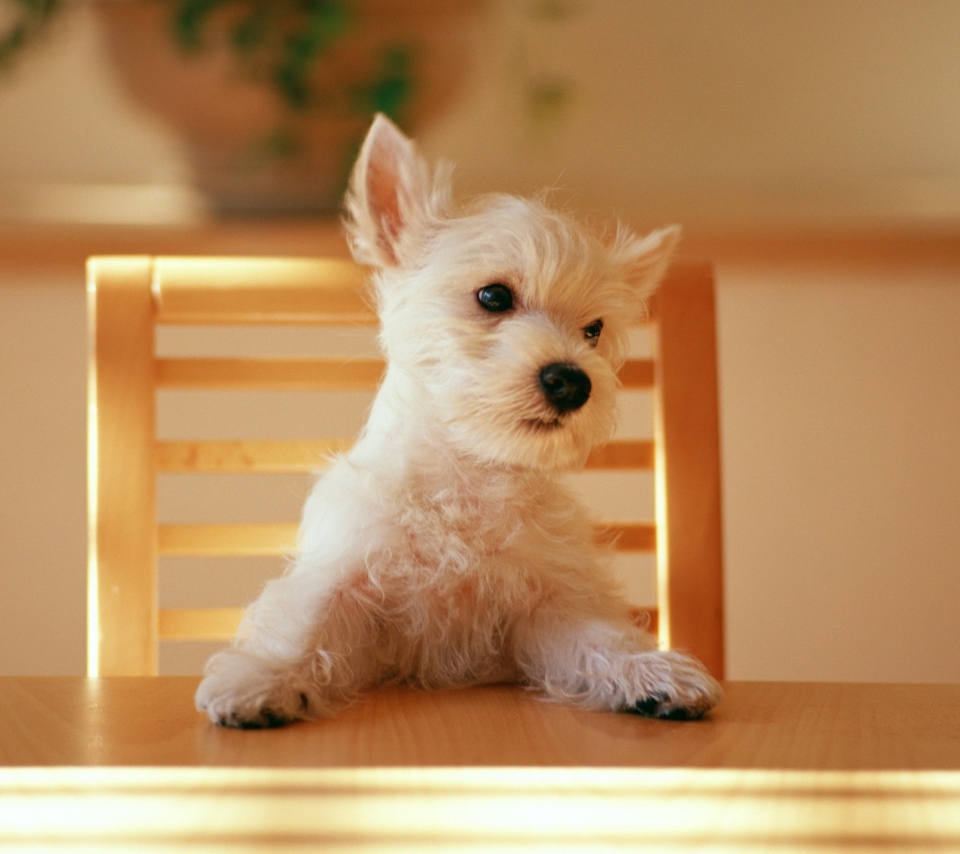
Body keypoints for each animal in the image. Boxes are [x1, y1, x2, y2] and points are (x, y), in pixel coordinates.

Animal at [195, 113, 720, 728]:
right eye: (493, 296)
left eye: (593, 329)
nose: (573, 382)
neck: (467, 475)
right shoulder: (349, 577)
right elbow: (304, 625)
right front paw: (262, 679)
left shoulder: (548, 606)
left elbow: (599, 639)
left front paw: (651, 673)